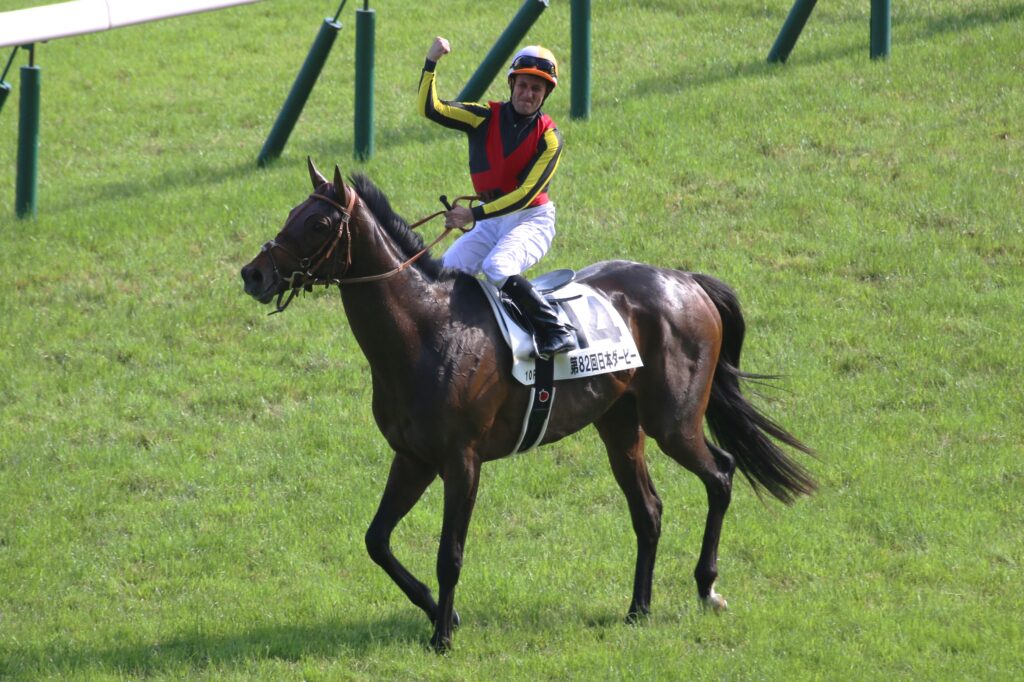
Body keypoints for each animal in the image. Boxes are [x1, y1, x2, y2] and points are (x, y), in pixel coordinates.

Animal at [240, 159, 816, 652]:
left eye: (317, 223)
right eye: (291, 214)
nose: (254, 274)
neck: (424, 332)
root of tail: (686, 280)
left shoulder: (462, 461)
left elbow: (449, 554)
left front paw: (442, 636)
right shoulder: (413, 458)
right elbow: (377, 540)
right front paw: (442, 613)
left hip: (672, 421)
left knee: (721, 473)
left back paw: (706, 587)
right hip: (619, 425)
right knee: (648, 511)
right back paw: (638, 608)